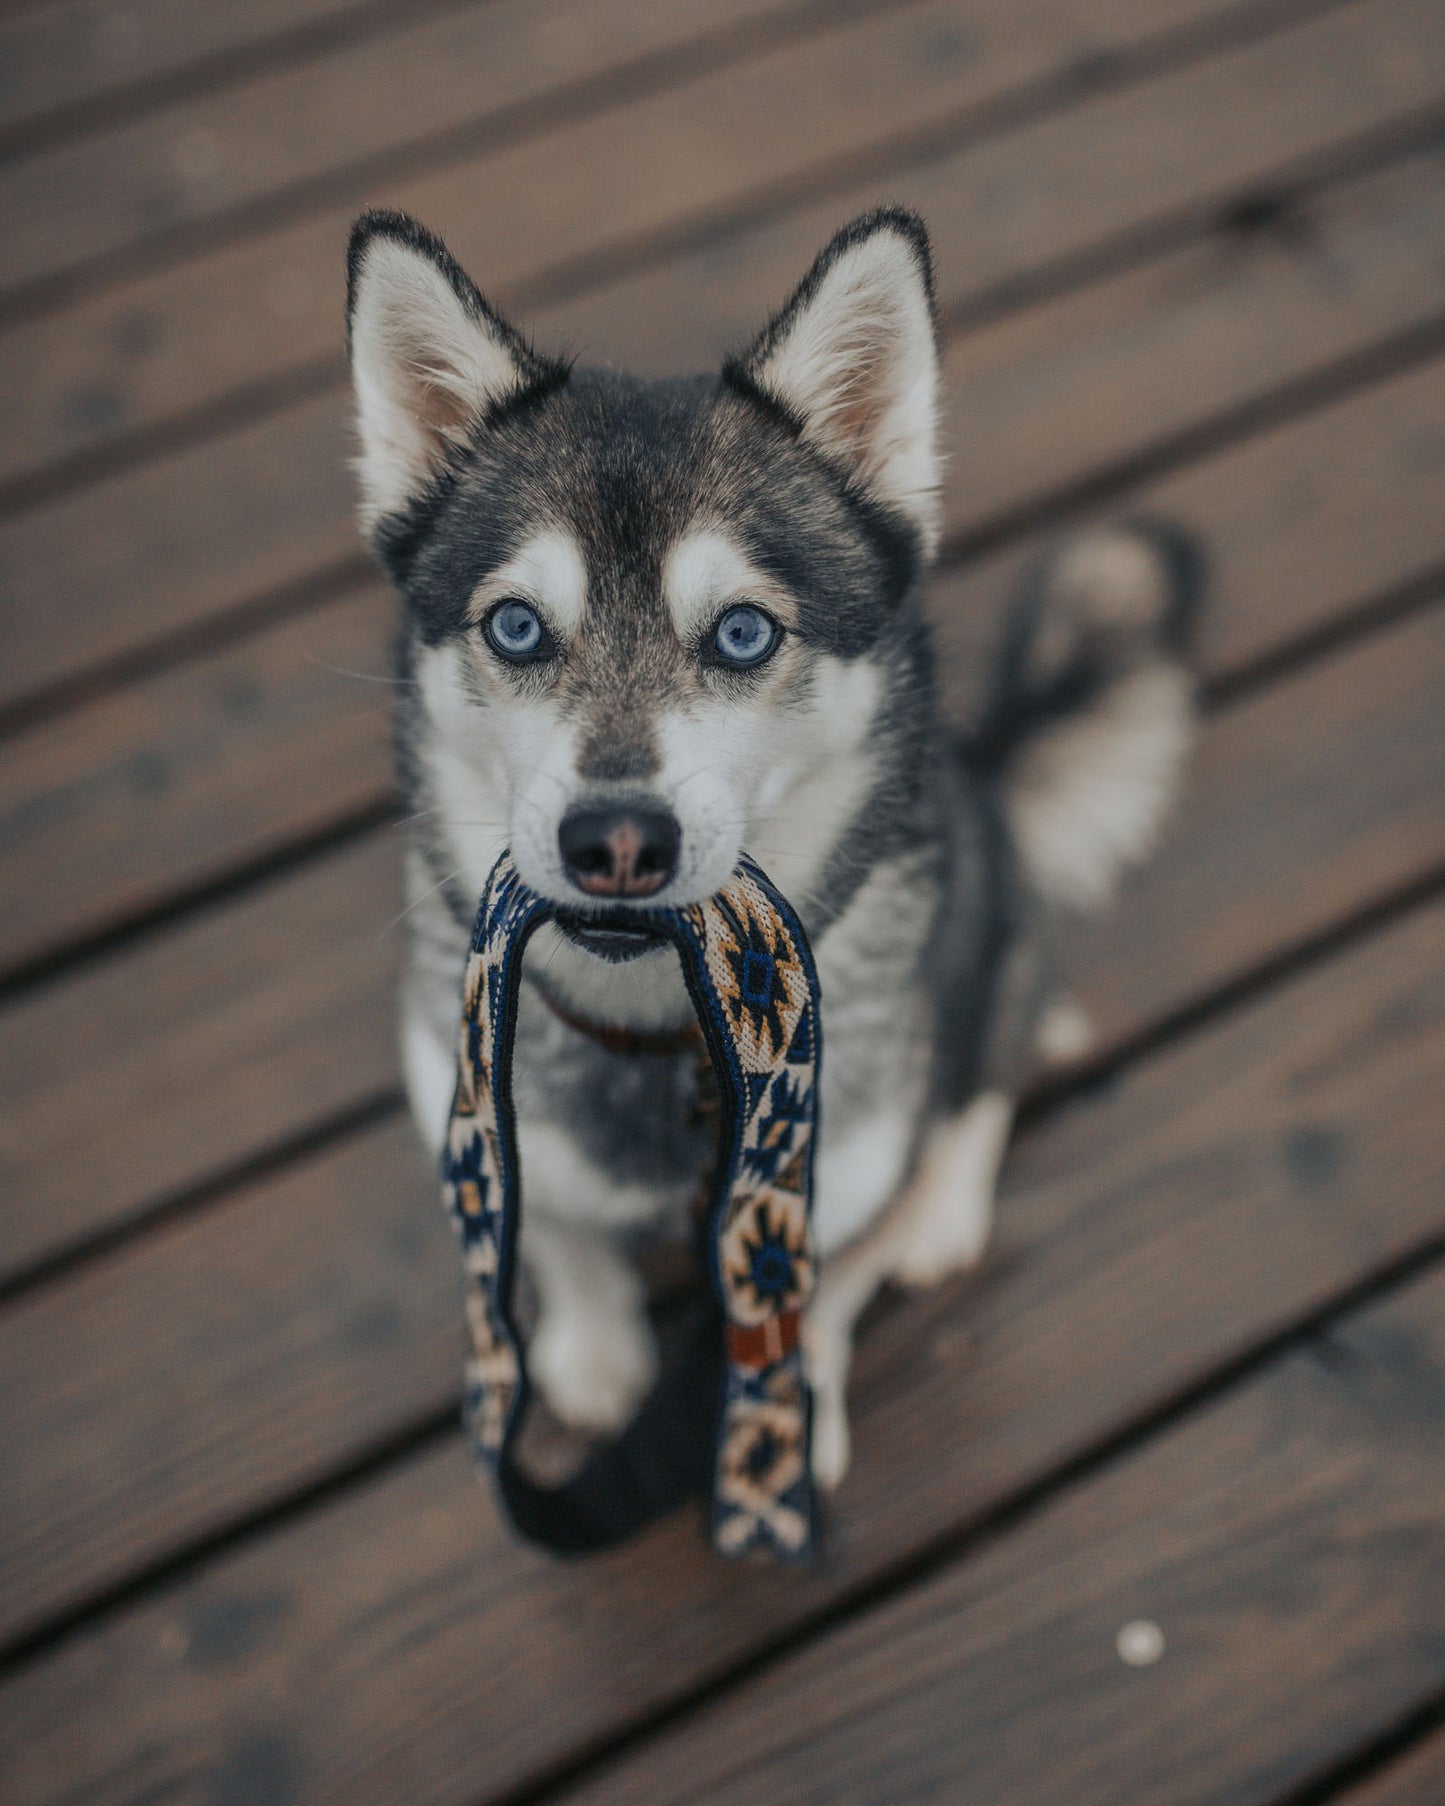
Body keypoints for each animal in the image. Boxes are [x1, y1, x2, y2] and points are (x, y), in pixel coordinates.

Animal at [346, 204, 1199, 1488]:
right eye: (516, 627)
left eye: (743, 634)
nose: (615, 842)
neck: (662, 1031)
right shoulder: (474, 1111)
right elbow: (563, 1239)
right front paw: (595, 1357)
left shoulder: (834, 1182)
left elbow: (826, 1294)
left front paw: (783, 1421)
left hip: (986, 919)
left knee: (988, 1056)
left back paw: (945, 1198)